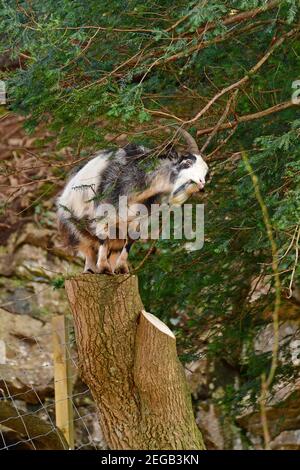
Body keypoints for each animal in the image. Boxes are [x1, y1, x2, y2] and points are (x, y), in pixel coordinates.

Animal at [56, 129, 209, 276]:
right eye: (187, 163)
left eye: (205, 171)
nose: (201, 184)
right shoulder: (103, 215)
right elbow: (103, 239)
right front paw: (103, 268)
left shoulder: (138, 220)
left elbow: (129, 242)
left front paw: (122, 269)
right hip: (75, 226)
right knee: (87, 247)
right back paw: (90, 270)